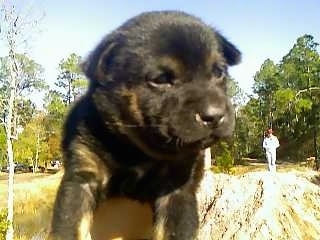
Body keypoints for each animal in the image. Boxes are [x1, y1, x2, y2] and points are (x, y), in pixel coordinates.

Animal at [49, 10, 240, 239]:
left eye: (219, 72)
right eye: (160, 79)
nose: (215, 115)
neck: (138, 151)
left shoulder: (177, 189)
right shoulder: (82, 176)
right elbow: (69, 227)